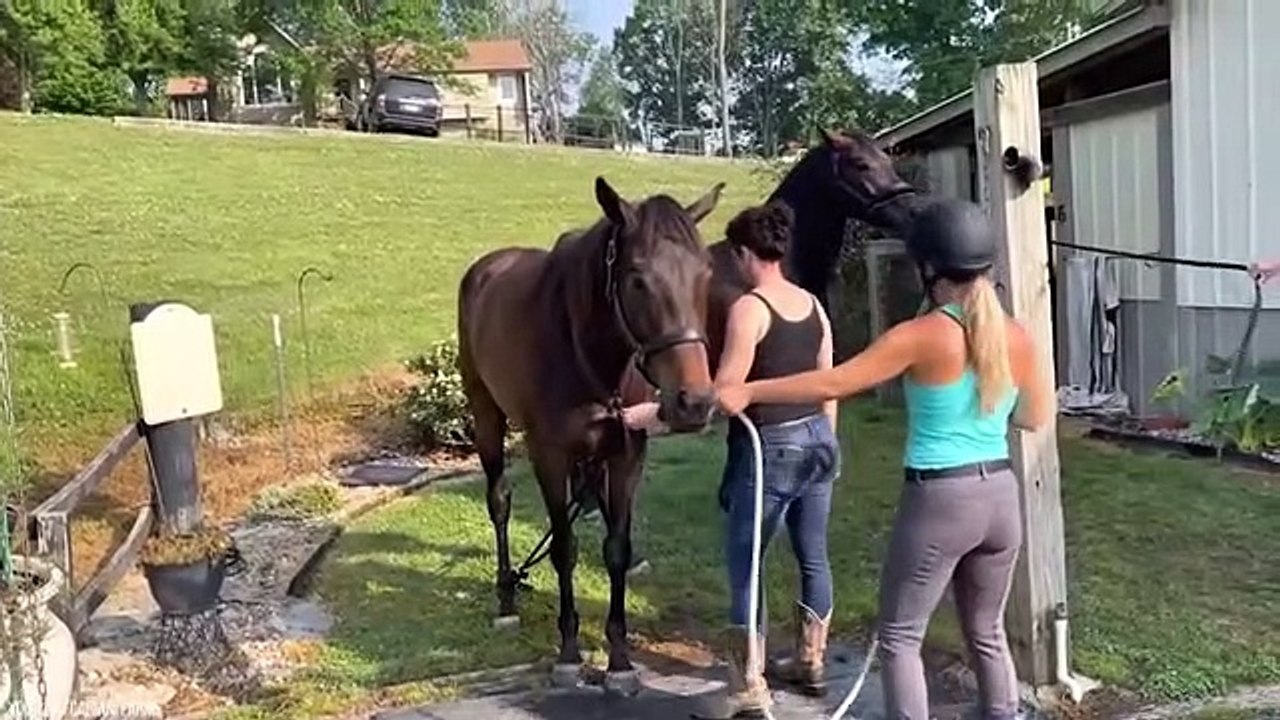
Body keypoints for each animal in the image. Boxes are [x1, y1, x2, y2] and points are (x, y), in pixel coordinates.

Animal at [457, 176, 725, 696]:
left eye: (705, 274)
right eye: (637, 278)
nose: (694, 403)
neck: (586, 351)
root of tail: (486, 266)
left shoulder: (626, 454)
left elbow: (615, 550)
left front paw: (619, 661)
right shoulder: (548, 455)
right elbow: (565, 550)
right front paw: (568, 653)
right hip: (485, 414)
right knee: (499, 501)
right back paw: (506, 598)